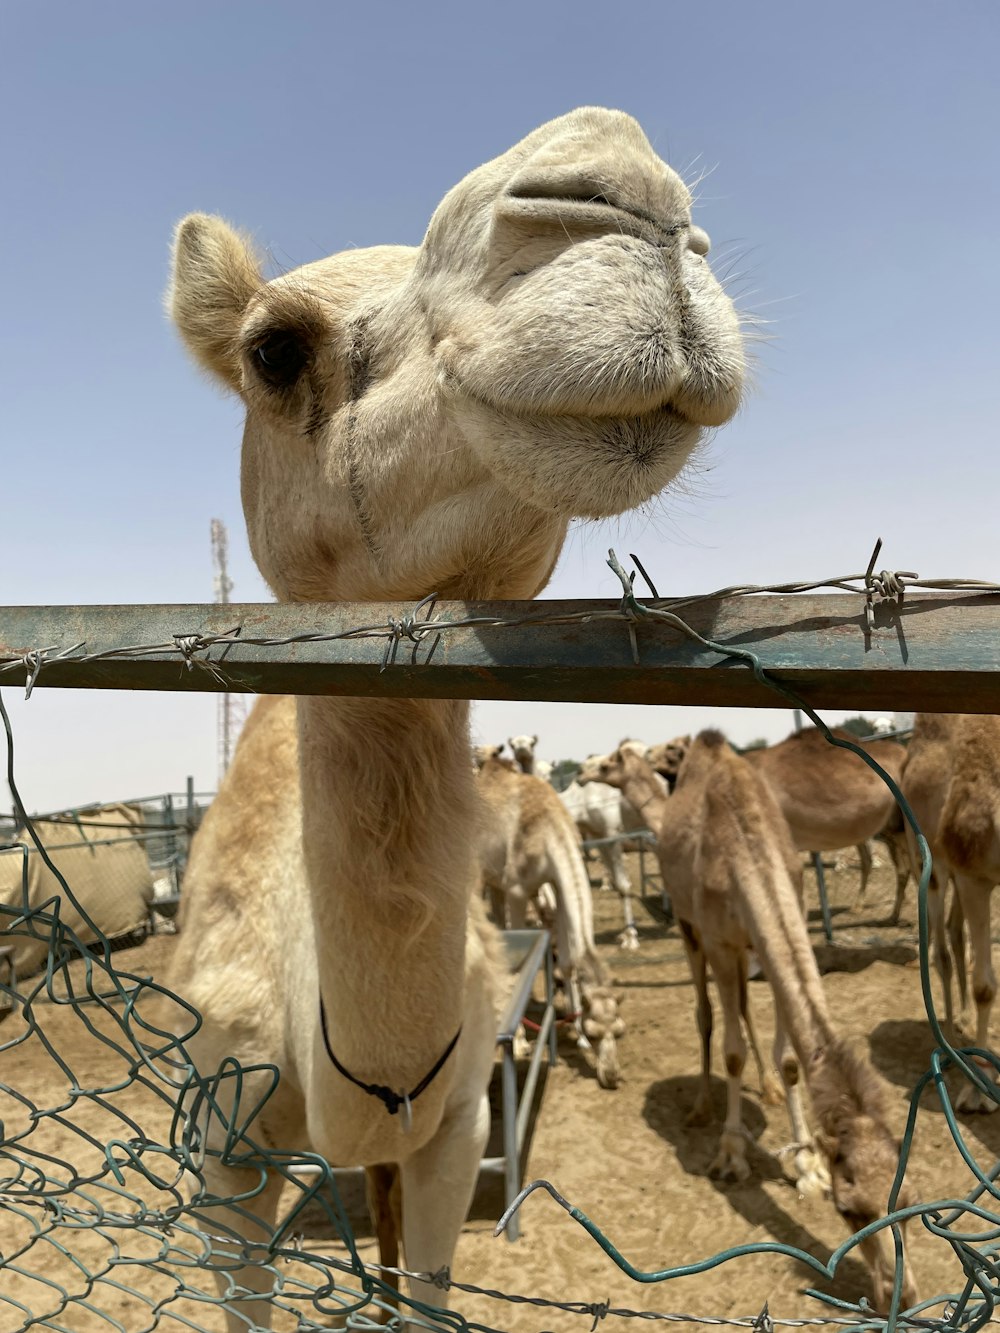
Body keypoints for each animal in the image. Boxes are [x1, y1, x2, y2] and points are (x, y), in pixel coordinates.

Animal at [474, 757, 618, 1087]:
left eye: (619, 1031)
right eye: (595, 1030)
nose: (612, 1075)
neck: (548, 831)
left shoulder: (556, 882)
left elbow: (568, 962)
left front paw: (578, 1041)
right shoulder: (517, 889)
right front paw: (519, 1043)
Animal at [584, 741, 922, 1311]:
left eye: (913, 1199)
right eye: (849, 1209)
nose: (900, 1296)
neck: (746, 848)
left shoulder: (776, 926)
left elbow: (790, 1058)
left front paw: (806, 1164)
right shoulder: (720, 941)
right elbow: (732, 1049)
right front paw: (731, 1154)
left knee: (740, 1008)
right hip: (690, 929)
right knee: (707, 1014)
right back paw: (702, 1106)